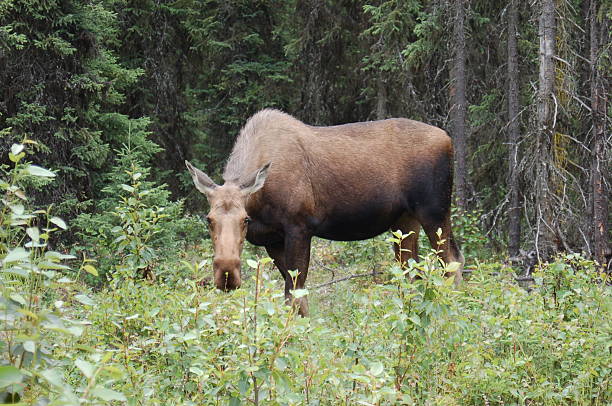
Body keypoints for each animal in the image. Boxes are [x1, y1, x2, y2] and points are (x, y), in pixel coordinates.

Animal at [186, 109, 464, 316]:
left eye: (245, 219)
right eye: (209, 219)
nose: (227, 274)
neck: (259, 199)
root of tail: (448, 139)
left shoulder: (299, 227)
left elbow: (296, 292)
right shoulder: (272, 240)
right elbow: (293, 293)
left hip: (434, 211)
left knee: (452, 260)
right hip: (404, 220)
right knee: (411, 270)